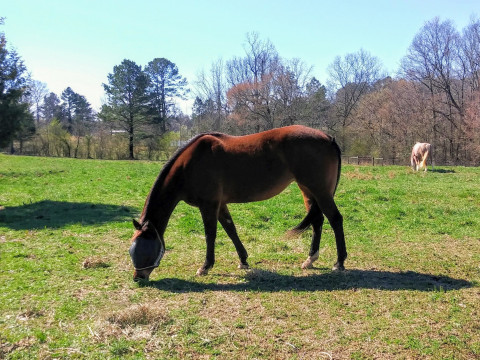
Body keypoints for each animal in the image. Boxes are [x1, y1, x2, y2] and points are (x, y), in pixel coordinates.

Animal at [129, 126, 346, 282]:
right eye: (132, 250)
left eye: (144, 250)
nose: (138, 278)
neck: (189, 164)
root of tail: (329, 138)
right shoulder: (220, 205)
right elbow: (231, 229)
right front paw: (243, 260)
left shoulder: (209, 205)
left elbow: (210, 235)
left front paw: (205, 266)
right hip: (308, 191)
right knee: (317, 221)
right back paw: (310, 259)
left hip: (320, 191)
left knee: (335, 219)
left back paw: (339, 262)